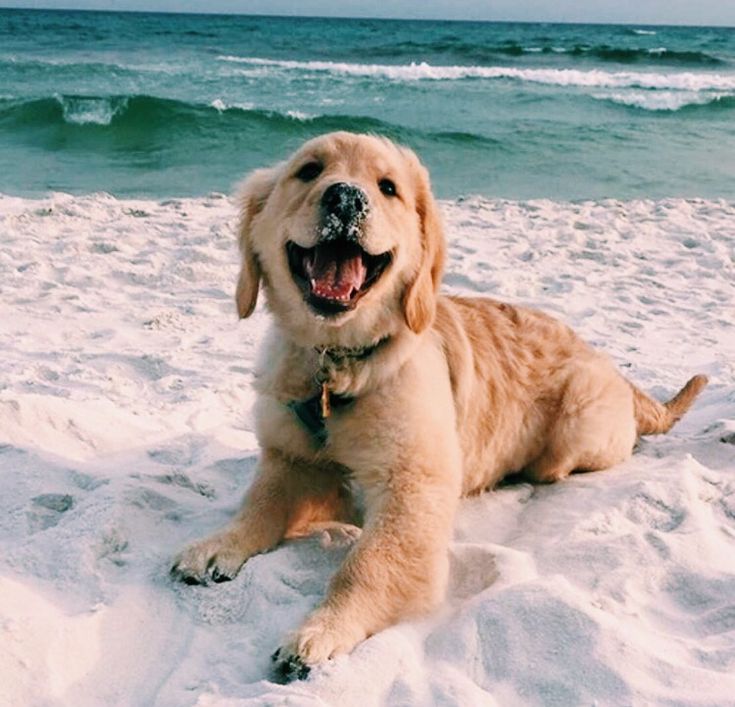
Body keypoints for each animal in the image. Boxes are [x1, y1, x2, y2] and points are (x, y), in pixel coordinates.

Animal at [171, 131, 708, 680]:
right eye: (309, 171)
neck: (336, 363)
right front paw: (219, 544)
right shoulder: (289, 456)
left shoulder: (413, 489)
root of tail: (618, 372)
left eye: (388, 187)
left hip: (578, 417)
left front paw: (322, 629)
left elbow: (366, 564)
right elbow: (259, 503)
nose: (346, 198)